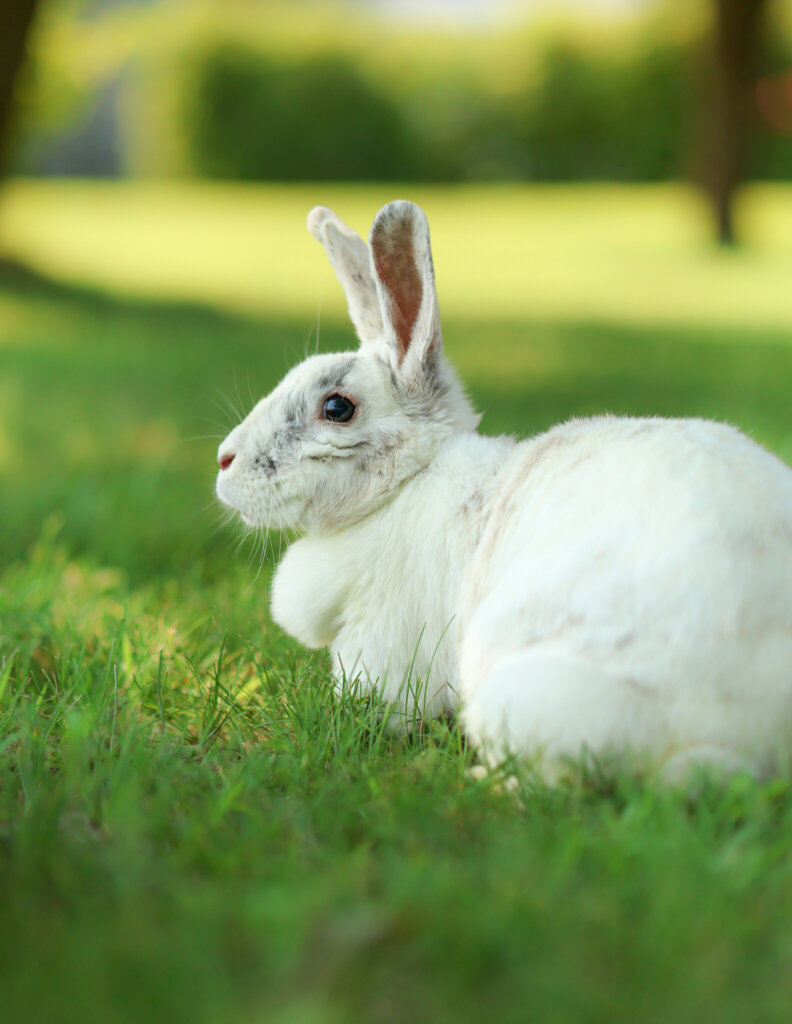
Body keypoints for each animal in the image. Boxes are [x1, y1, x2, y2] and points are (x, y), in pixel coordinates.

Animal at [216, 200, 792, 781]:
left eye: (337, 407)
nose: (224, 461)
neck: (408, 484)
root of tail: (749, 739)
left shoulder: (380, 644)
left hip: (532, 696)